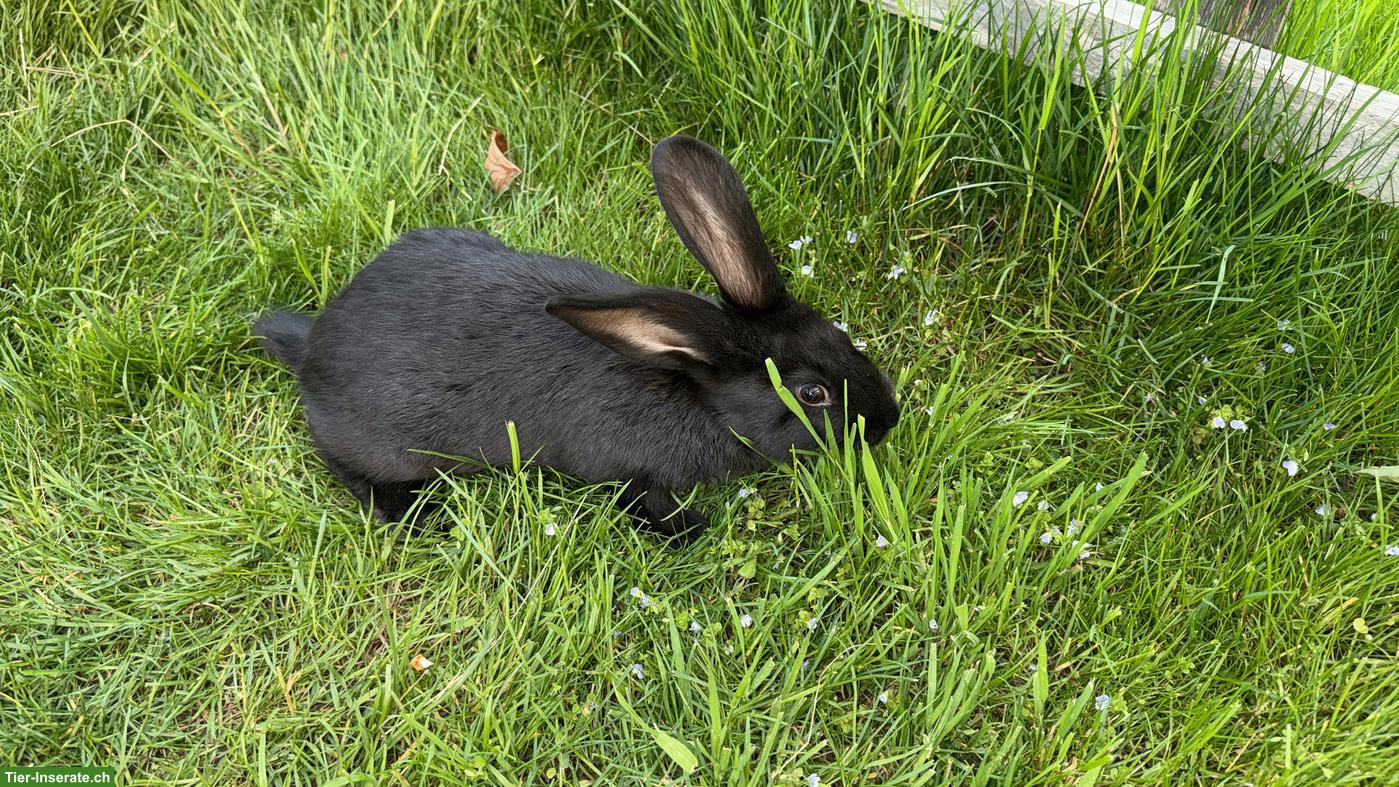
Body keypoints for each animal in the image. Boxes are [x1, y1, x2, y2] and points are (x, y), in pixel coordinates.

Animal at [254, 135, 900, 543]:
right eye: (812, 395)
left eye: (838, 335)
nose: (888, 419)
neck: (697, 392)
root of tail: (312, 349)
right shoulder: (627, 474)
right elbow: (644, 504)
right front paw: (689, 533)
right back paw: (416, 516)